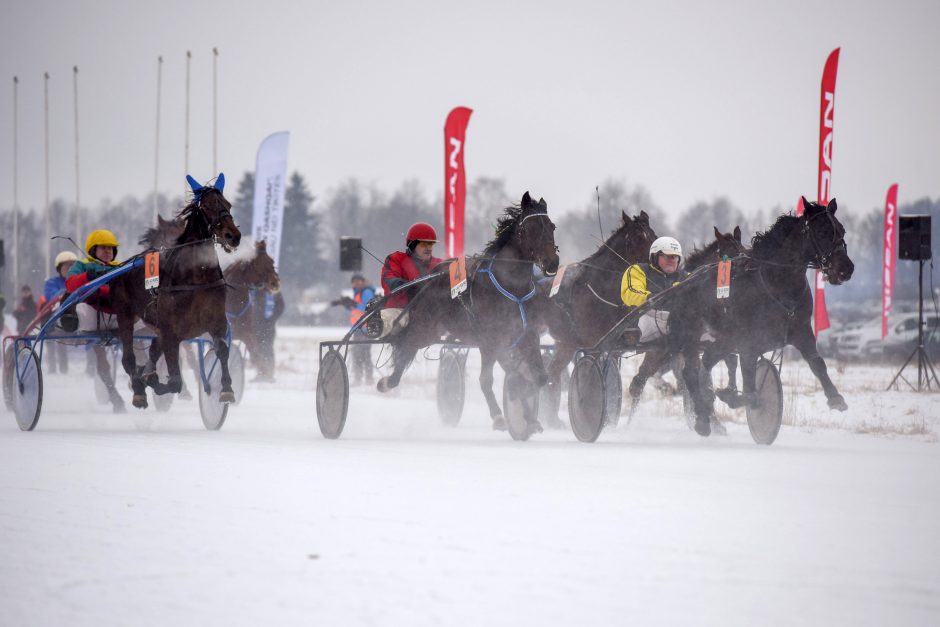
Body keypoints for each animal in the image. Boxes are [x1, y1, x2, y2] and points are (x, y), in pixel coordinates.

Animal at [110, 174, 242, 410]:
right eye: (206, 206)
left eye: (227, 205)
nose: (232, 235)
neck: (196, 277)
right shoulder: (171, 331)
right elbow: (174, 382)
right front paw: (150, 379)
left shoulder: (216, 322)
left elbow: (222, 350)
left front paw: (226, 389)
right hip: (125, 314)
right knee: (129, 358)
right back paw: (139, 390)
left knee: (153, 349)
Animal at [378, 191, 560, 436]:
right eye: (529, 229)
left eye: (551, 226)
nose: (552, 263)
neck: (511, 287)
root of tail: (427, 281)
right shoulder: (490, 339)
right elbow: (497, 379)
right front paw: (506, 414)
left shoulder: (526, 335)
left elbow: (538, 377)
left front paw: (531, 419)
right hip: (425, 329)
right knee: (407, 348)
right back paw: (387, 382)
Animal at [664, 200, 856, 436]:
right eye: (821, 231)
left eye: (842, 230)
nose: (845, 269)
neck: (779, 285)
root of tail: (684, 281)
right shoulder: (748, 343)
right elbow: (750, 391)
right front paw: (734, 398)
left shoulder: (801, 331)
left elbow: (817, 363)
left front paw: (835, 397)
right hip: (692, 334)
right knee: (690, 372)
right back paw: (702, 417)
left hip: (723, 340)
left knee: (705, 363)